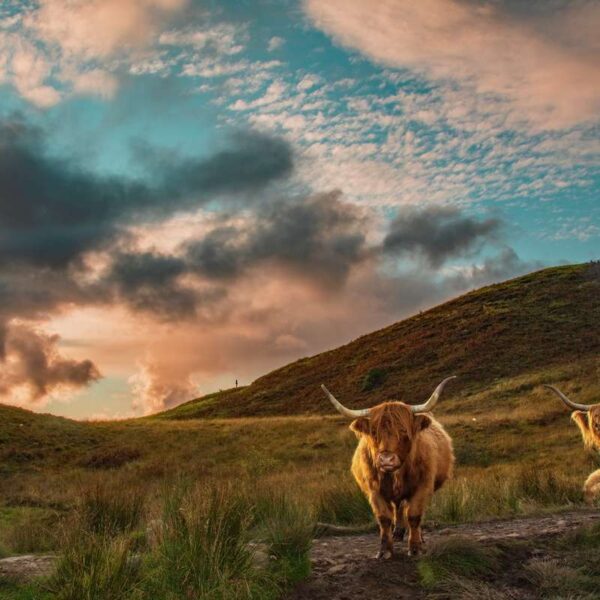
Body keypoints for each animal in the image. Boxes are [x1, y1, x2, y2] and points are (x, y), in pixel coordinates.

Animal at [318, 378, 454, 560]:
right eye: (374, 432)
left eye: (403, 431)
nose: (386, 459)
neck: (396, 474)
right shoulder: (374, 490)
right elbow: (384, 518)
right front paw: (385, 551)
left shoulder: (423, 486)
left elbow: (414, 515)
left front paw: (415, 548)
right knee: (398, 507)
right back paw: (398, 533)